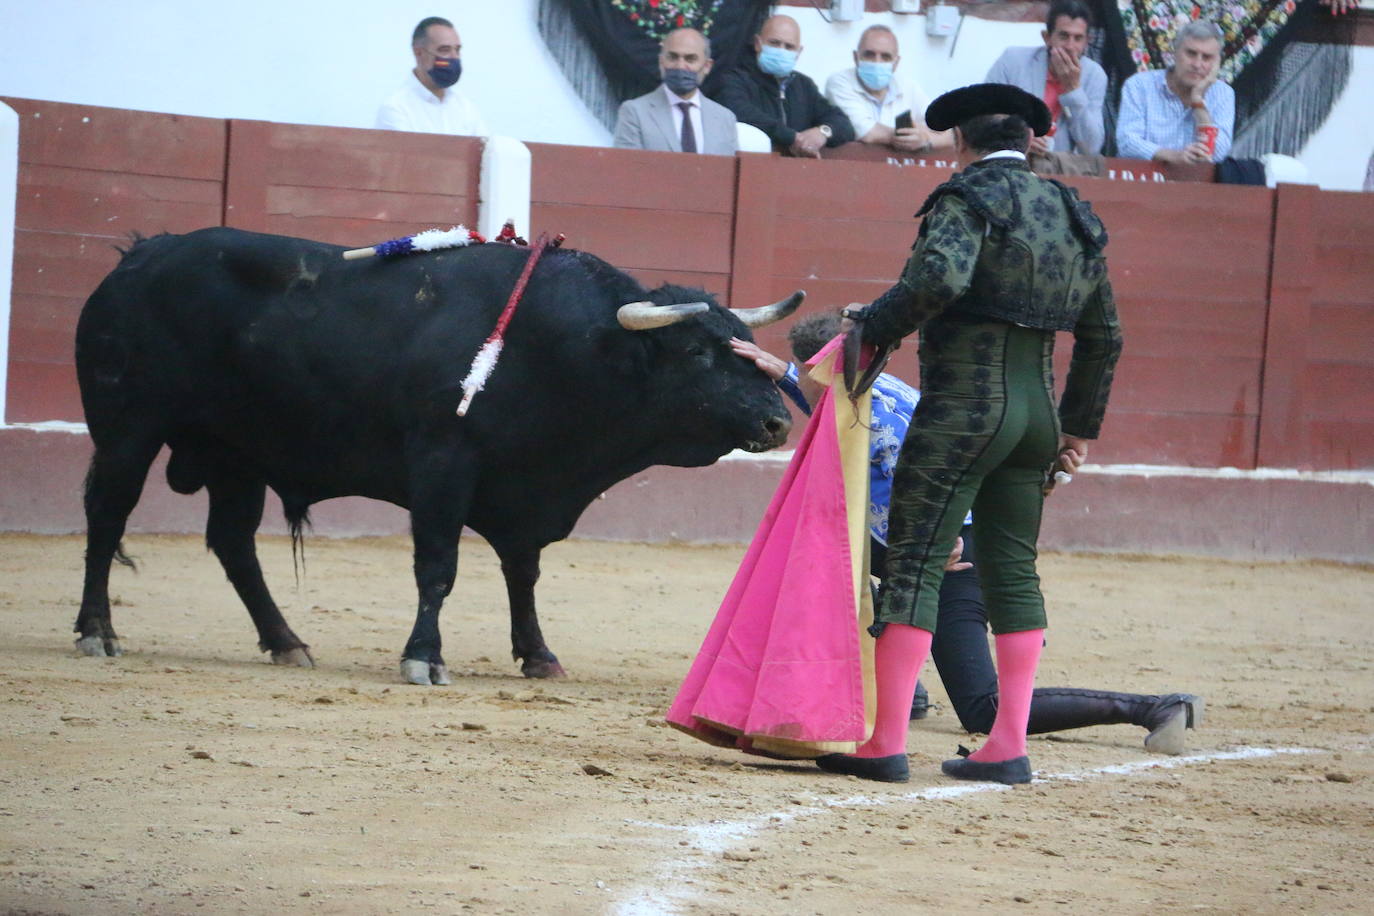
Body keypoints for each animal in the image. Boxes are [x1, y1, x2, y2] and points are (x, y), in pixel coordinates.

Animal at [75, 229, 802, 683]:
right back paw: (97, 633)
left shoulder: (524, 488)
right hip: (127, 430)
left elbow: (523, 573)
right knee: (107, 516)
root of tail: (141, 255)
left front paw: (538, 655)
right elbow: (438, 567)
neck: (563, 347)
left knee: (233, 543)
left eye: (744, 347)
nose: (777, 422)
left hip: (237, 454)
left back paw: (287, 643)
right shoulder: (442, 464)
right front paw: (424, 657)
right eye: (696, 352)